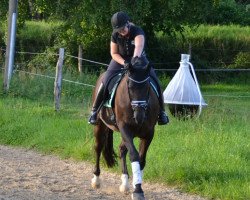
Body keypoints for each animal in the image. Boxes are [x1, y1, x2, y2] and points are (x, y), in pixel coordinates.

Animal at [91, 56, 159, 200]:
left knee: (122, 149)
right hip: (100, 126)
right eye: (129, 86)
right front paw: (137, 190)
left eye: (148, 86)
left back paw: (125, 183)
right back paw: (96, 180)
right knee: (98, 148)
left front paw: (136, 185)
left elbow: (141, 159)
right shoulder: (125, 129)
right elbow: (134, 156)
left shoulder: (148, 133)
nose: (139, 116)